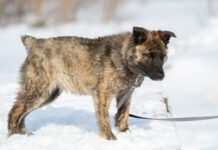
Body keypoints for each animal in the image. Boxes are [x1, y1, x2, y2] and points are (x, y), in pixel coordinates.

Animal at [7, 26, 176, 140]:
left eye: (162, 56)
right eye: (148, 55)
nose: (161, 76)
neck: (123, 58)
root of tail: (34, 43)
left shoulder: (126, 94)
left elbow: (123, 115)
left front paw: (125, 132)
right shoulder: (102, 95)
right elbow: (104, 119)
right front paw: (110, 139)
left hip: (48, 94)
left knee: (22, 113)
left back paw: (23, 134)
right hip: (39, 91)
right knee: (14, 112)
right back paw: (15, 136)